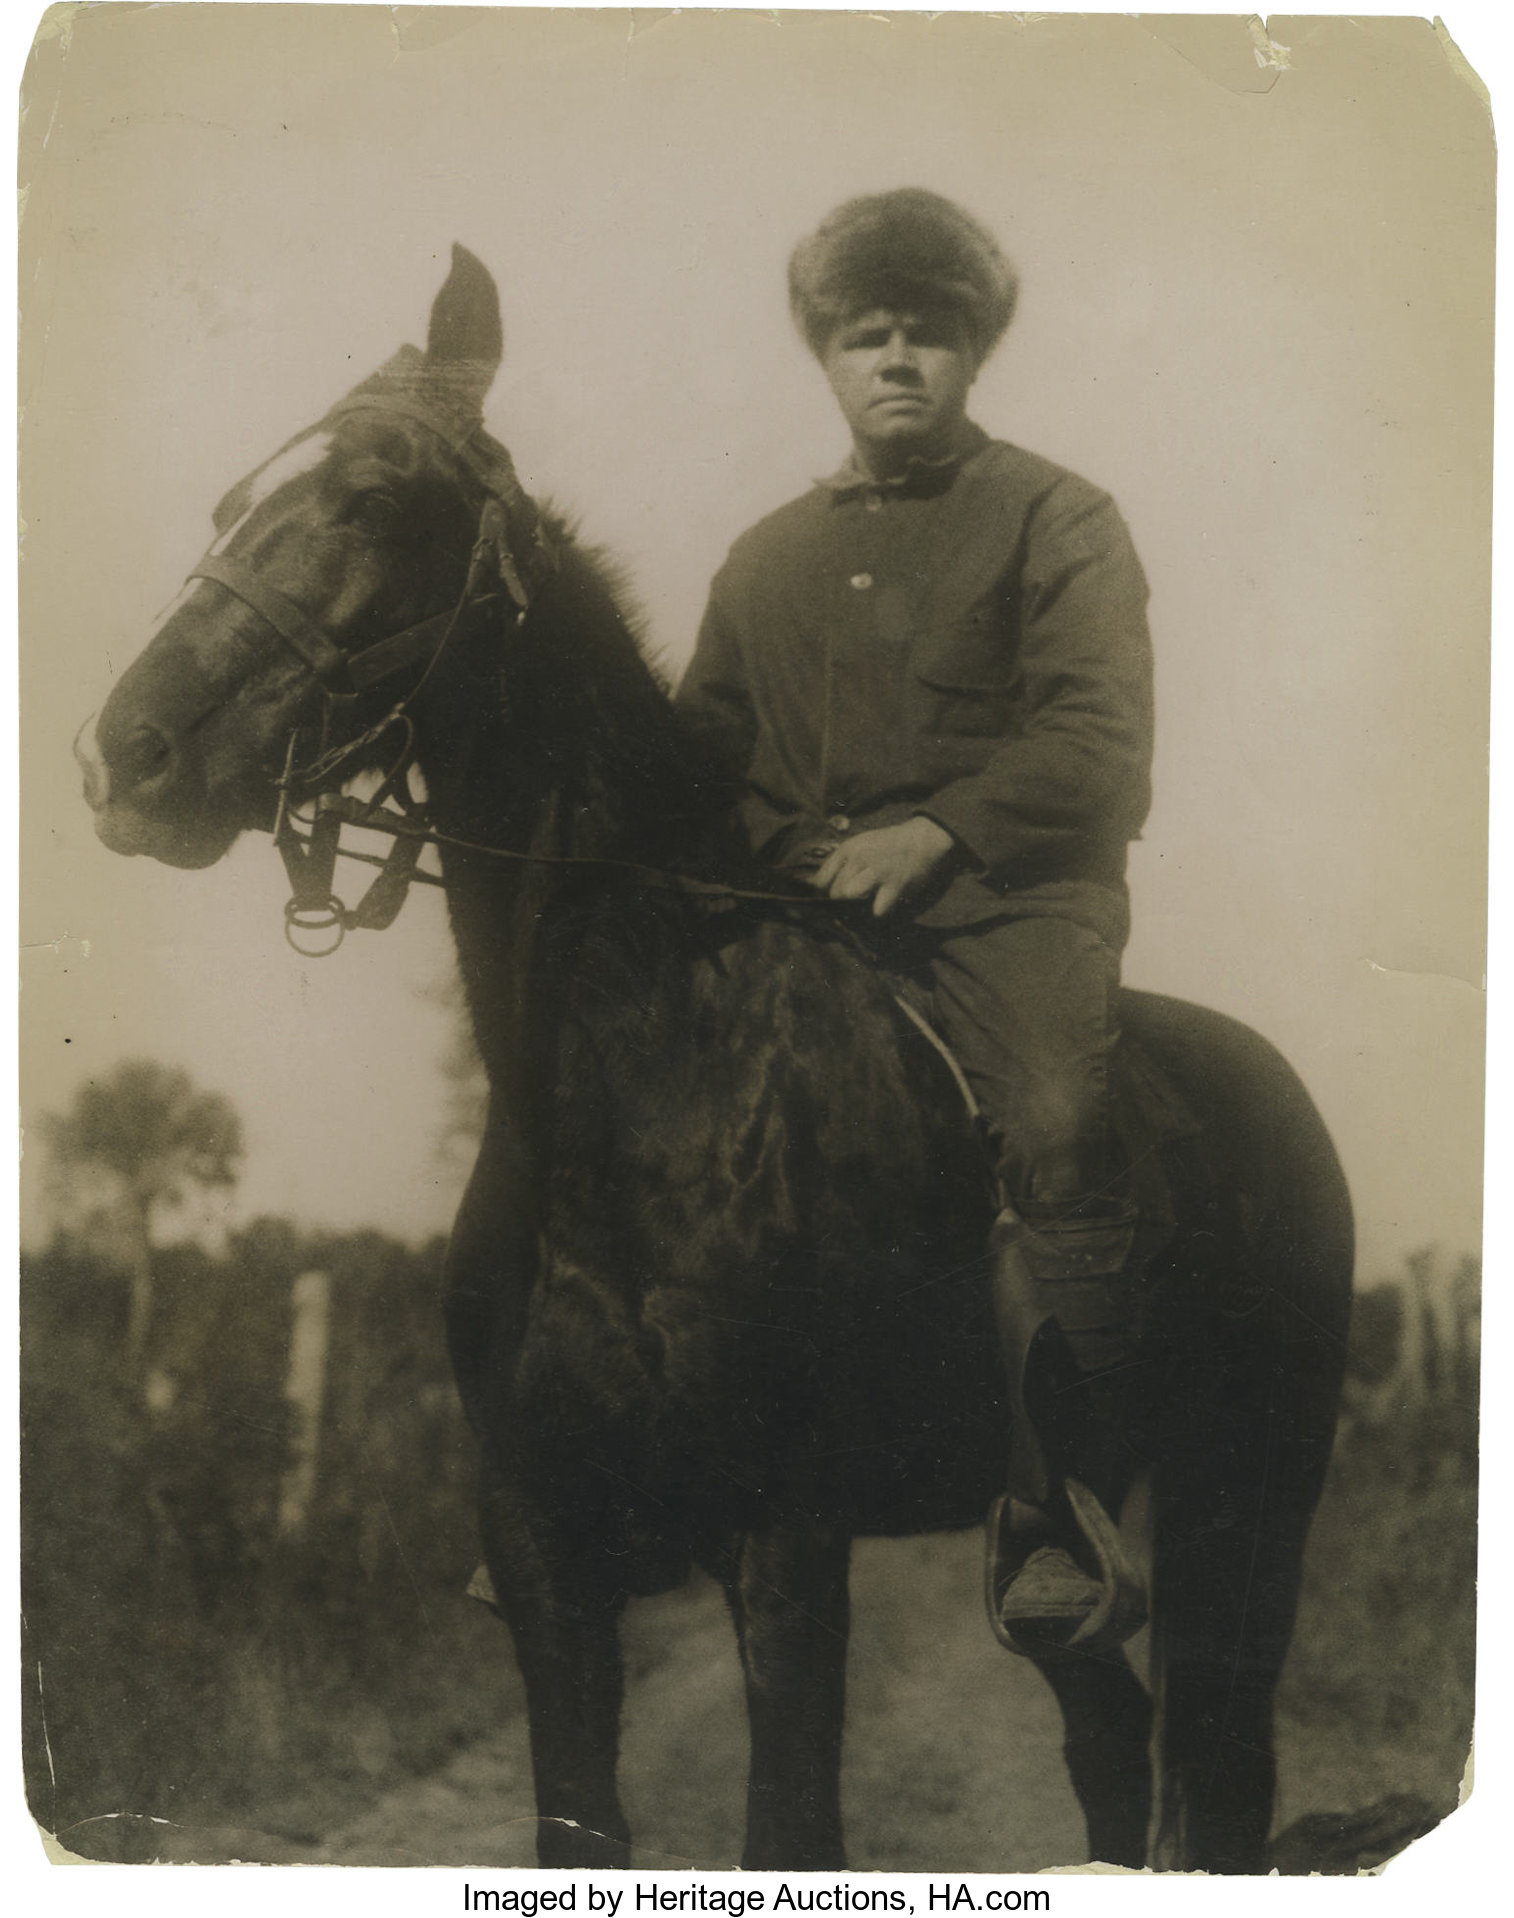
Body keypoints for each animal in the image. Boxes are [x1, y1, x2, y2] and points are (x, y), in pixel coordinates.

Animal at [79, 247, 1343, 1864]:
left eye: (368, 499)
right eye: (236, 506)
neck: (641, 1090)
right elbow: (576, 1818)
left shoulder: (784, 1540)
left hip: (1245, 1496)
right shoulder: (543, 1547)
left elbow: (787, 1823)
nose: (124, 757)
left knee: (1220, 1755)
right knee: (1112, 1735)